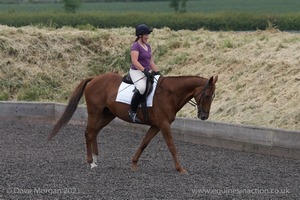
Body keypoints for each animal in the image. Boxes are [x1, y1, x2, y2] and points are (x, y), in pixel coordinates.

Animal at [49, 72, 218, 173]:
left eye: (213, 96)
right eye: (207, 95)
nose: (204, 116)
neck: (169, 93)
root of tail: (94, 79)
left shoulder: (156, 125)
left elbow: (144, 143)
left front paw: (134, 163)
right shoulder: (164, 124)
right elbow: (171, 146)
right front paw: (180, 168)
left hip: (107, 115)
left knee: (94, 132)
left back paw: (96, 160)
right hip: (94, 112)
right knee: (89, 133)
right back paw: (91, 162)